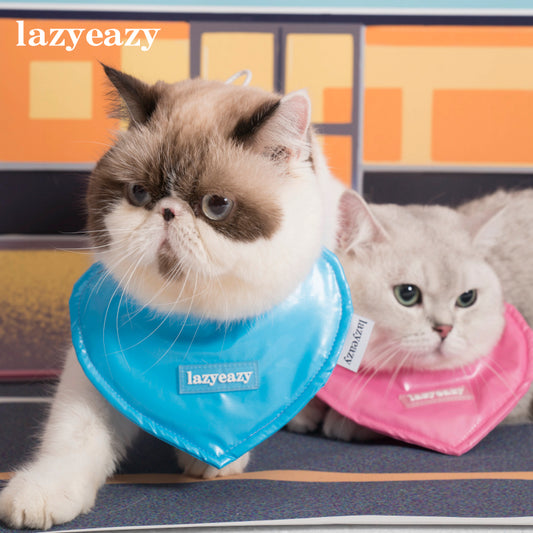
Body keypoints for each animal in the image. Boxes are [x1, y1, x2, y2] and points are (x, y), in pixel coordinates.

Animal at [0, 66, 338, 528]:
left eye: (217, 205)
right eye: (140, 194)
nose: (168, 211)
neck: (191, 325)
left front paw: (213, 462)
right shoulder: (95, 374)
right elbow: (74, 437)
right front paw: (42, 494)